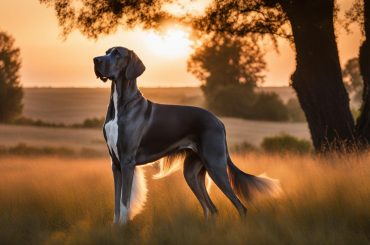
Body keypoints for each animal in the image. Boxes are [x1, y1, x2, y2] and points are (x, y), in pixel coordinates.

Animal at [93, 47, 280, 225]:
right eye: (106, 52)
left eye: (117, 53)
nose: (96, 60)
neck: (120, 104)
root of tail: (219, 122)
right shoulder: (115, 164)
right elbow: (117, 204)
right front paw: (116, 228)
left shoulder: (127, 162)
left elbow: (124, 203)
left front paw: (124, 229)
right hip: (192, 172)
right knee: (211, 209)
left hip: (215, 165)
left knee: (240, 207)